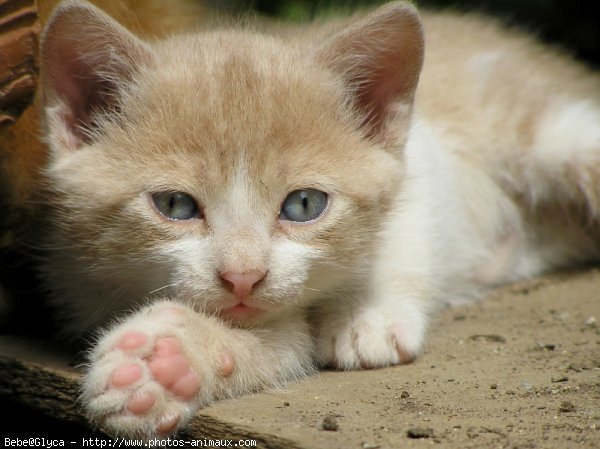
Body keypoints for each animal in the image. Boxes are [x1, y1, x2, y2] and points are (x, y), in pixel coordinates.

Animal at [38, 0, 600, 440]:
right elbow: (279, 344)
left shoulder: (422, 152)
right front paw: (163, 367)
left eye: (304, 205)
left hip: (540, 126)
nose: (243, 276)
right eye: (175, 205)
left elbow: (405, 225)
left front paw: (367, 312)